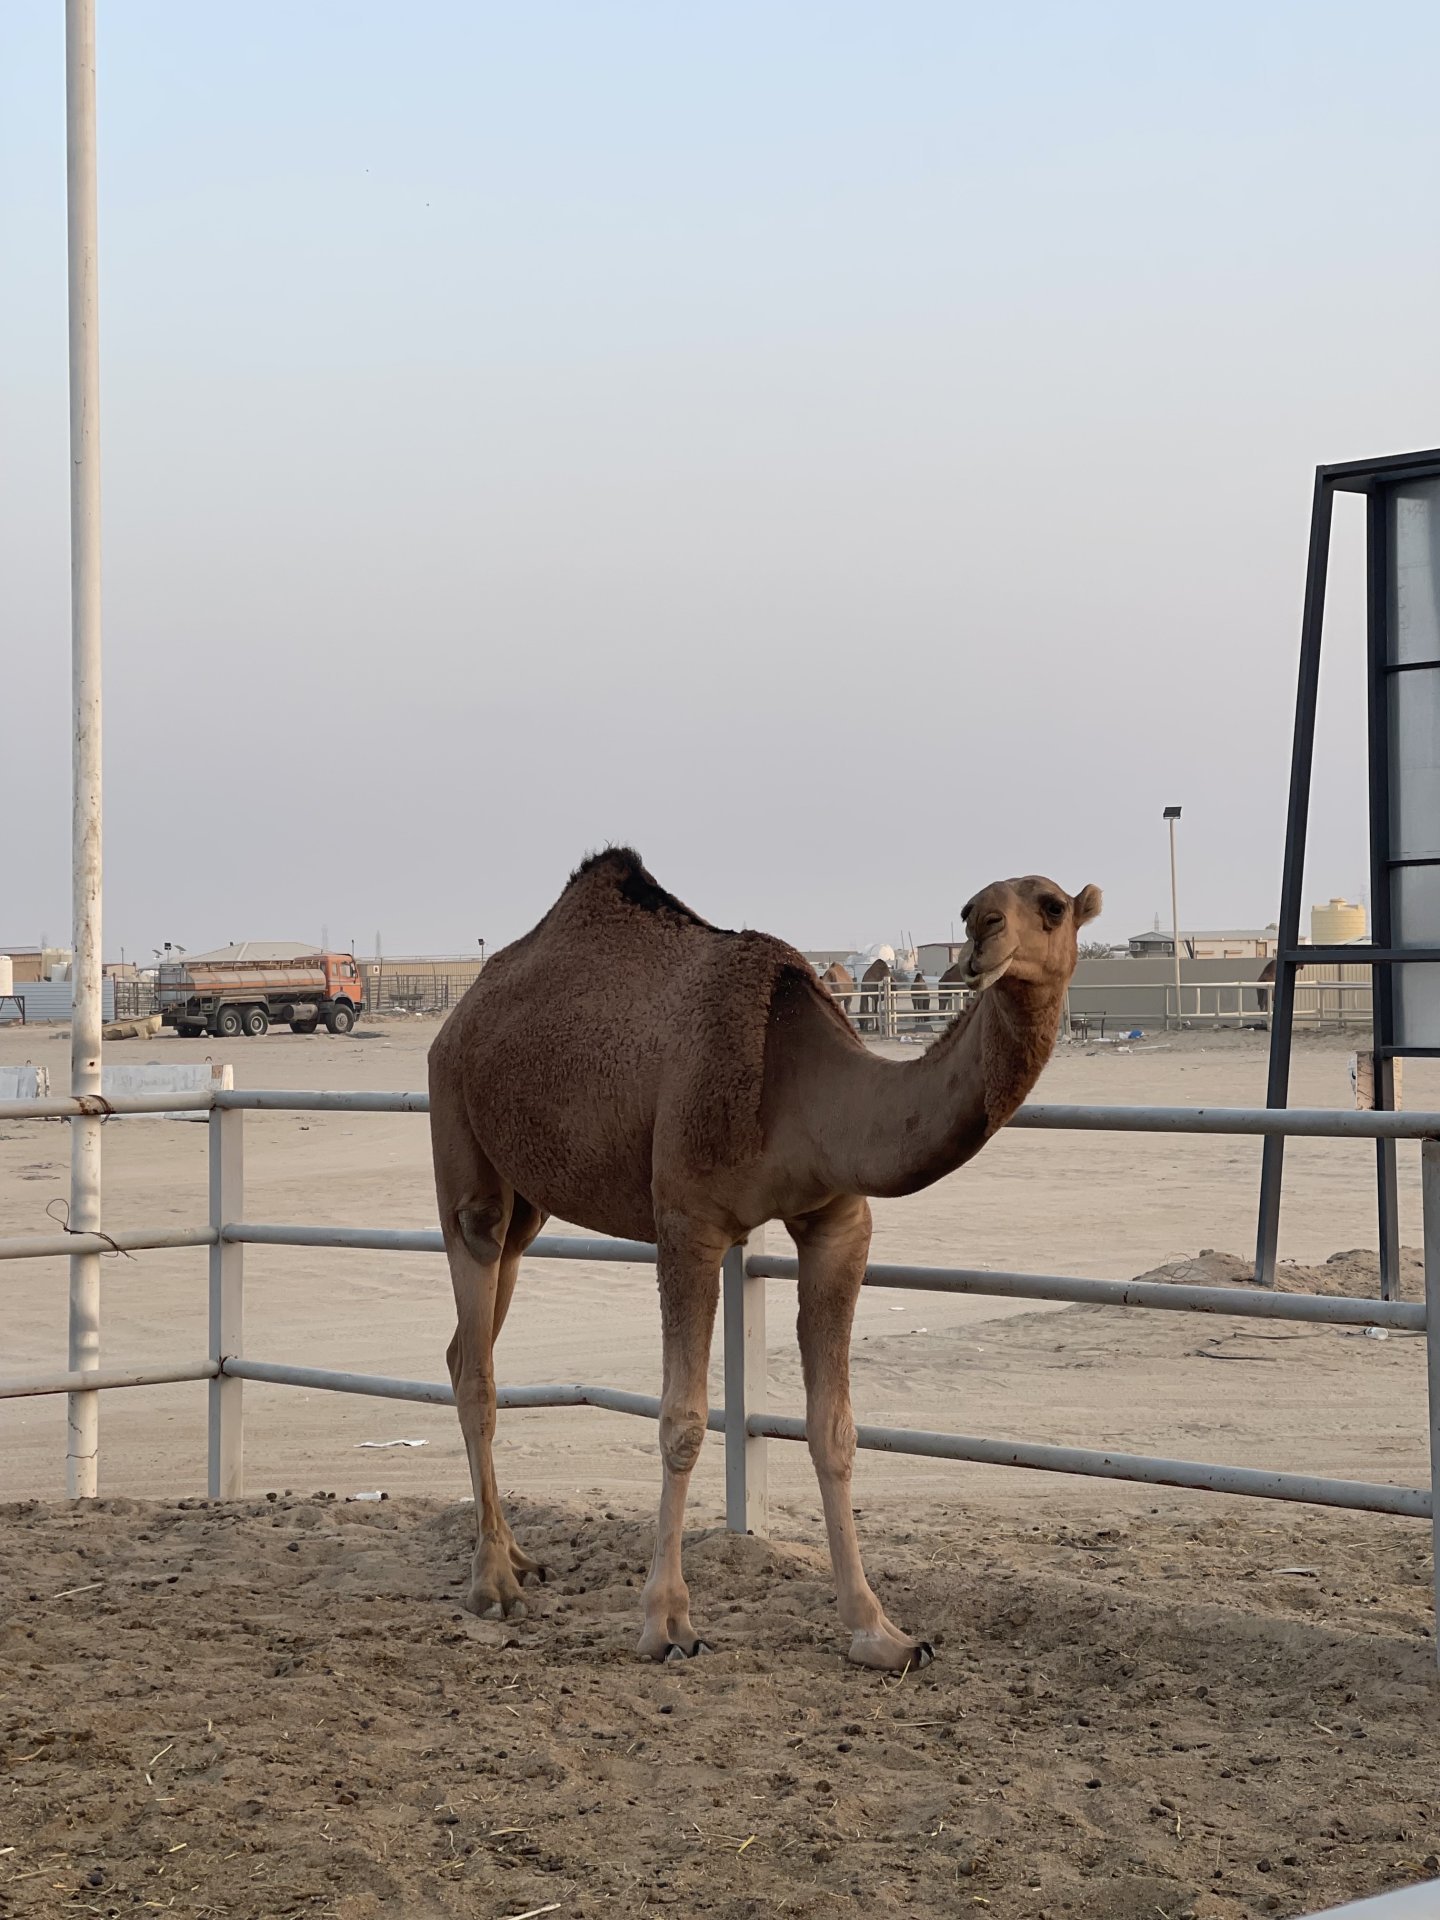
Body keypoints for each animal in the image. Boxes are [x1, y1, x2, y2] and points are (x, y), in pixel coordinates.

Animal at [428, 849, 1100, 1670]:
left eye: (1052, 906)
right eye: (972, 905)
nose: (983, 935)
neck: (796, 1080)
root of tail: (456, 1018)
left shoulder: (838, 1222)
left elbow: (834, 1428)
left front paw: (880, 1631)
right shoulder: (688, 1219)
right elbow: (683, 1421)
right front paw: (666, 1623)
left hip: (528, 1202)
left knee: (466, 1346)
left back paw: (520, 1557)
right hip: (460, 1140)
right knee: (477, 1357)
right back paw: (493, 1583)